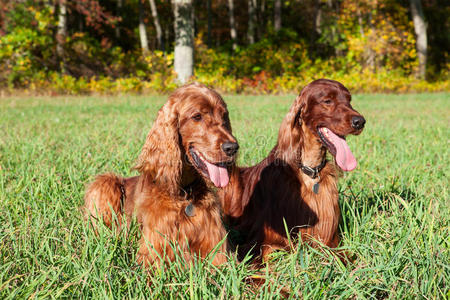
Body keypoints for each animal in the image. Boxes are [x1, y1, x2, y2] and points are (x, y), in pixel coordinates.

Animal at [221, 78, 366, 262]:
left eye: (349, 100)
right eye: (327, 101)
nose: (360, 122)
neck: (309, 171)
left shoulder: (328, 239)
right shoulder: (264, 241)